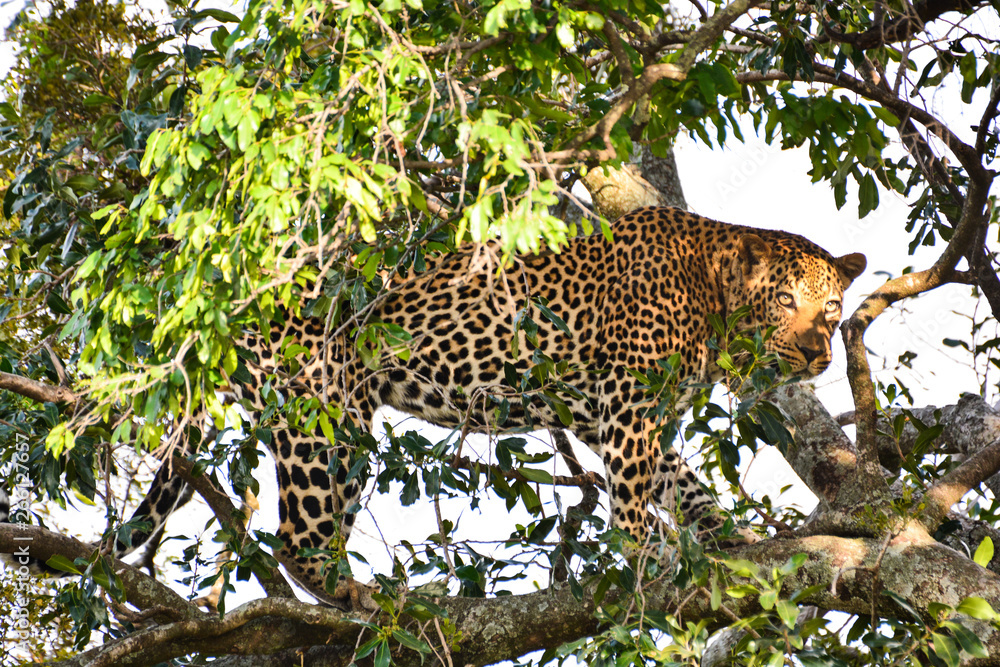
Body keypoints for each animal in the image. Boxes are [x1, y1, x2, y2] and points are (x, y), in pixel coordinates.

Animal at [1, 206, 866, 606]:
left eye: (829, 312)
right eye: (783, 301)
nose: (816, 356)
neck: (712, 297)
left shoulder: (605, 414)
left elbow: (683, 483)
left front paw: (728, 535)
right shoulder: (627, 408)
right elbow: (636, 495)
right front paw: (649, 557)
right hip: (321, 405)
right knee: (297, 534)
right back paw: (358, 593)